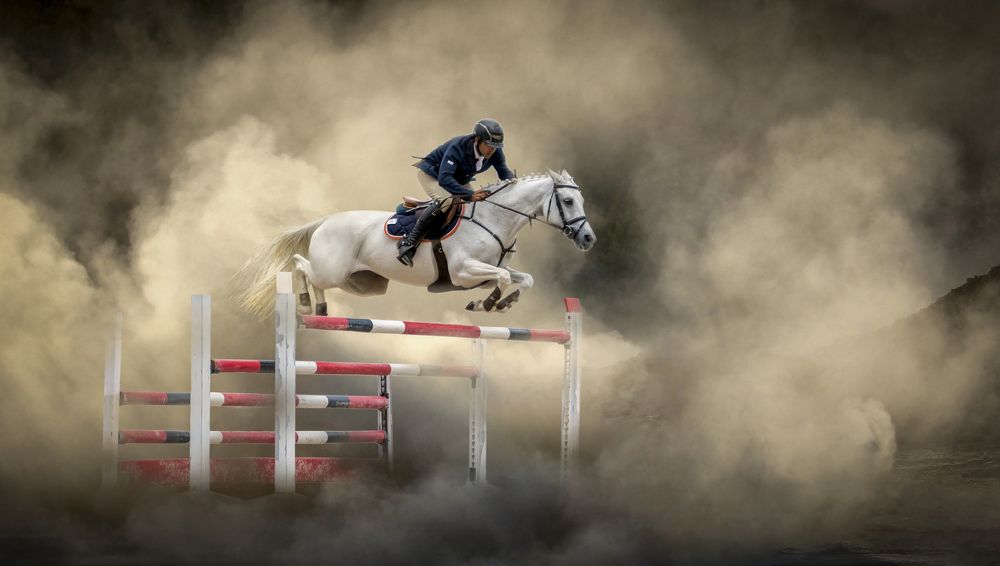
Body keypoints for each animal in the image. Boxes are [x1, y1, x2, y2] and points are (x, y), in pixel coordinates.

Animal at [236, 169, 596, 317]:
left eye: (579, 200)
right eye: (567, 201)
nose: (588, 238)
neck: (494, 218)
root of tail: (326, 220)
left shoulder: (478, 276)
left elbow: (523, 278)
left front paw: (500, 303)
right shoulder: (463, 272)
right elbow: (505, 277)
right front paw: (489, 304)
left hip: (362, 284)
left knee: (315, 277)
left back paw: (321, 310)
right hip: (332, 270)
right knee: (301, 266)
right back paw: (305, 304)